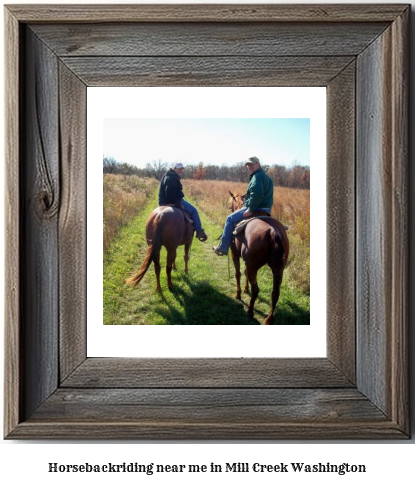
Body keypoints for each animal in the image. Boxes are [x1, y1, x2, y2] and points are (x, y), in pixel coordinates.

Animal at [228, 191, 290, 324]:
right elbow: (245, 273)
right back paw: (268, 319)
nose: (229, 208)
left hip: (254, 267)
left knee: (256, 290)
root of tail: (273, 231)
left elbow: (238, 273)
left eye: (231, 202)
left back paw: (250, 312)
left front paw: (239, 295)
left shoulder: (234, 254)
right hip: (278, 269)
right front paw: (246, 289)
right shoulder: (248, 263)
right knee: (275, 293)